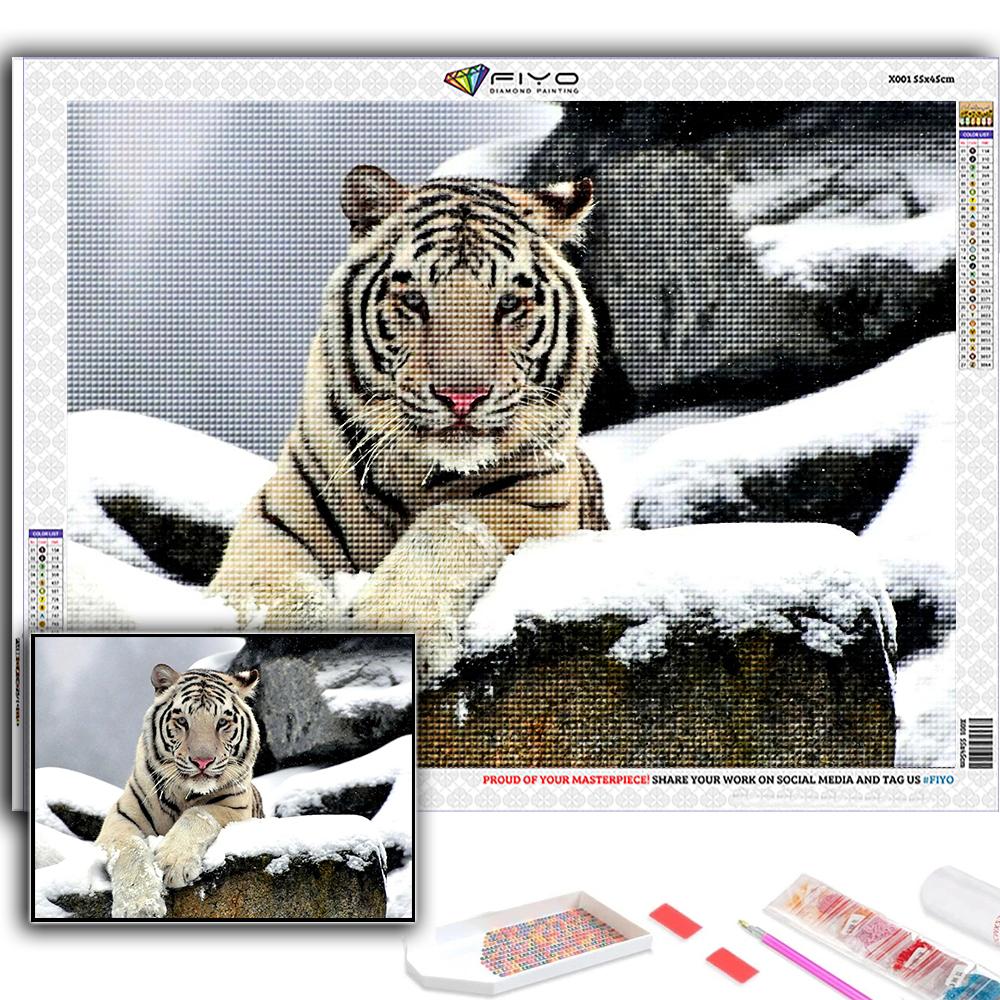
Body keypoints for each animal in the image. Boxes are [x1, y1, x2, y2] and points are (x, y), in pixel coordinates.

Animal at [96, 664, 263, 919]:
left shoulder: (234, 808)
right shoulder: (120, 817)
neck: (185, 793)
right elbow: (130, 849)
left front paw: (172, 864)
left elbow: (197, 815)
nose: (202, 761)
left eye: (222, 722)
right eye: (183, 721)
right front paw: (140, 907)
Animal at [209, 166, 608, 685]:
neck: (419, 473)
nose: (463, 396)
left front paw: (392, 619)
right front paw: (297, 621)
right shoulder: (277, 515)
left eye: (508, 304)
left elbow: (451, 524)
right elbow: (262, 574)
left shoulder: (535, 504)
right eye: (415, 301)